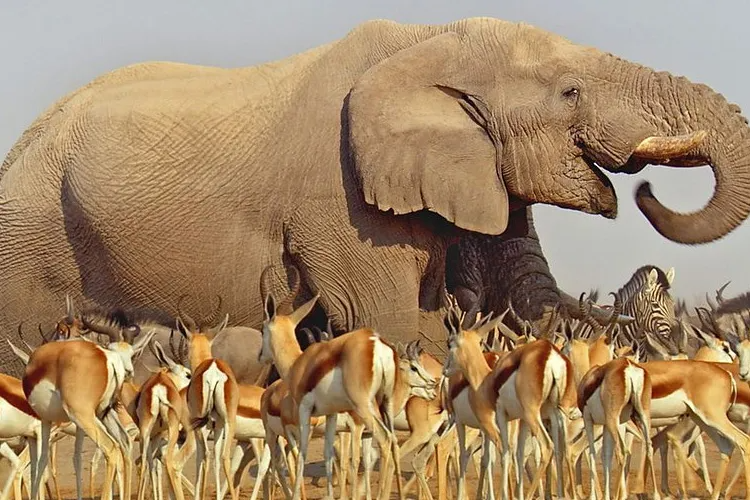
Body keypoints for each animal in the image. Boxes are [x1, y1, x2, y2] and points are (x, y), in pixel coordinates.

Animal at [0, 17, 749, 375]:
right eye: (570, 92)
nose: (646, 187)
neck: (428, 41)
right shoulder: (340, 201)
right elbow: (386, 322)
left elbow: (518, 301)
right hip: (30, 236)